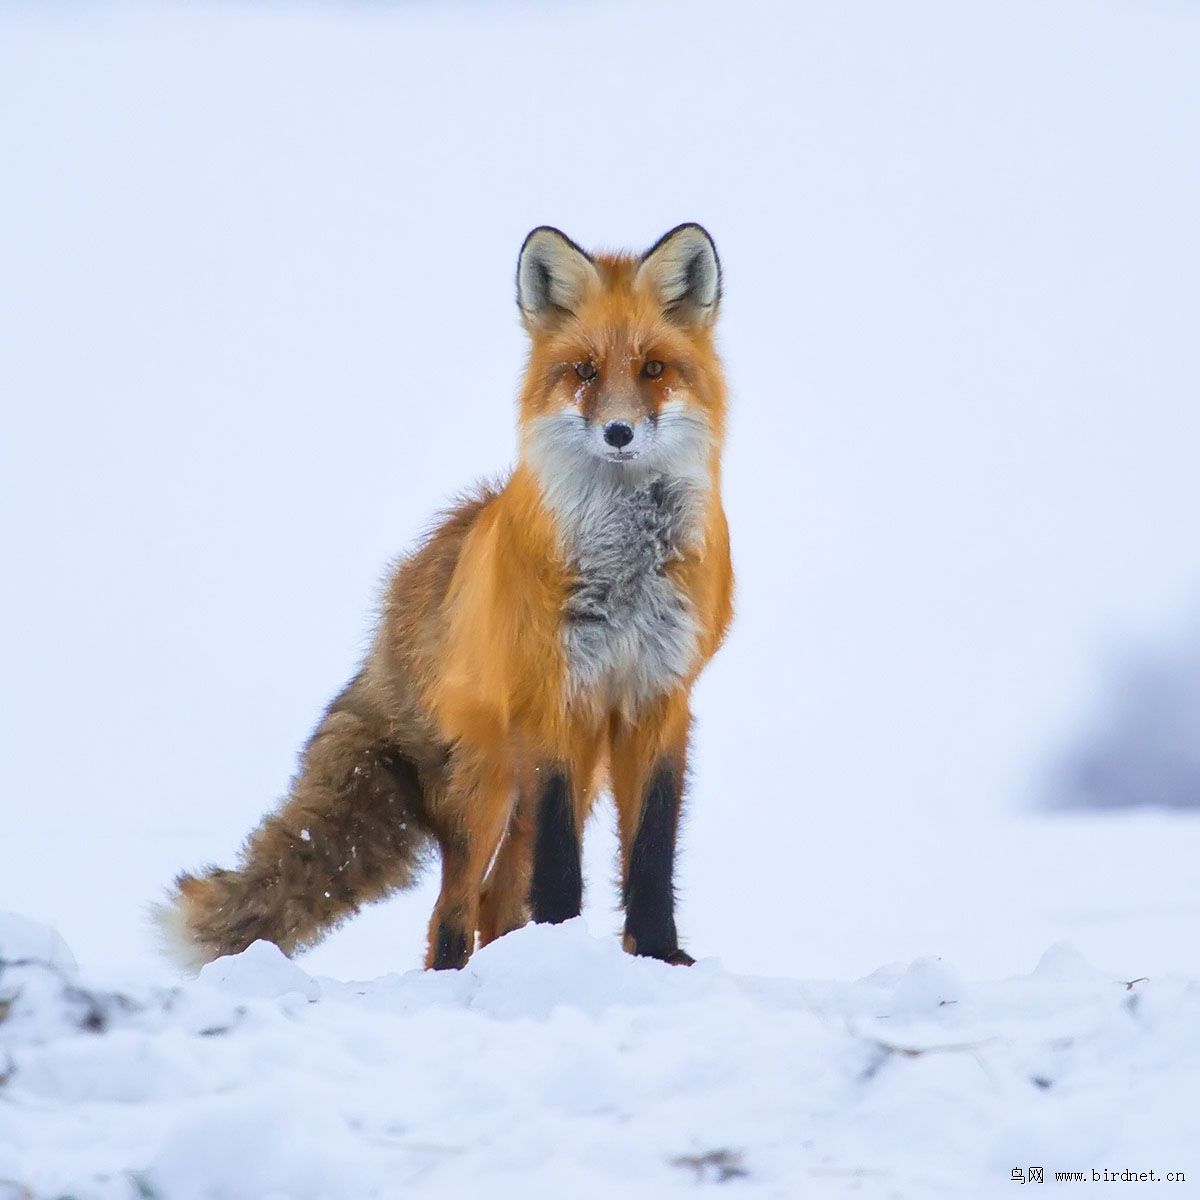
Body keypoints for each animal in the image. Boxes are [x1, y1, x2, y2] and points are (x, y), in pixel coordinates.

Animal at [158, 225, 729, 969]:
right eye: (584, 372)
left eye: (655, 369)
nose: (619, 433)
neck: (626, 570)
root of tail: (408, 583)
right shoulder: (552, 700)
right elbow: (560, 867)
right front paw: (564, 947)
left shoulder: (659, 698)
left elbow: (651, 851)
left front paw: (657, 955)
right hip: (489, 788)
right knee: (452, 911)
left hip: (570, 771)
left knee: (494, 899)